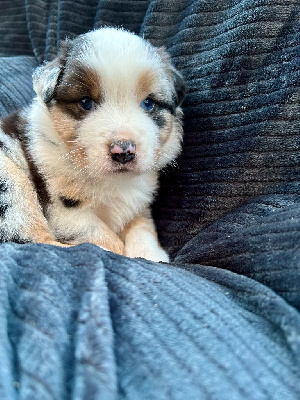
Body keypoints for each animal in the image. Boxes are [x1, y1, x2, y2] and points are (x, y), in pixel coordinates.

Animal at [0, 26, 186, 260]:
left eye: (148, 103)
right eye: (86, 102)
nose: (123, 151)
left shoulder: (138, 203)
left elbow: (142, 227)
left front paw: (150, 255)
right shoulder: (65, 211)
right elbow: (105, 239)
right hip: (11, 185)